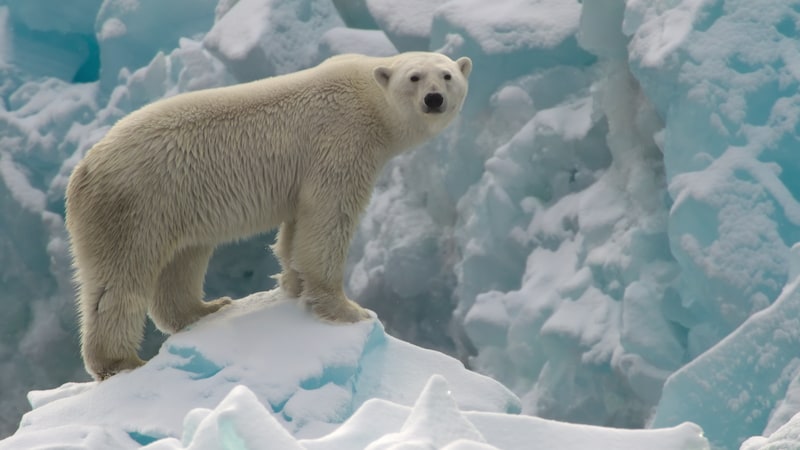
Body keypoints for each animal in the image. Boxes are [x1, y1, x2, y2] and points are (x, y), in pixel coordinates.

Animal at [67, 51, 476, 378]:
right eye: (415, 77)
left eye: (447, 75)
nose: (434, 99)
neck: (367, 97)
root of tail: (83, 170)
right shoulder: (342, 142)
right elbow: (329, 218)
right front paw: (348, 310)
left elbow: (297, 227)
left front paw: (292, 285)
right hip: (134, 205)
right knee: (118, 283)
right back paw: (120, 361)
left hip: (173, 206)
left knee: (182, 261)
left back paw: (206, 308)